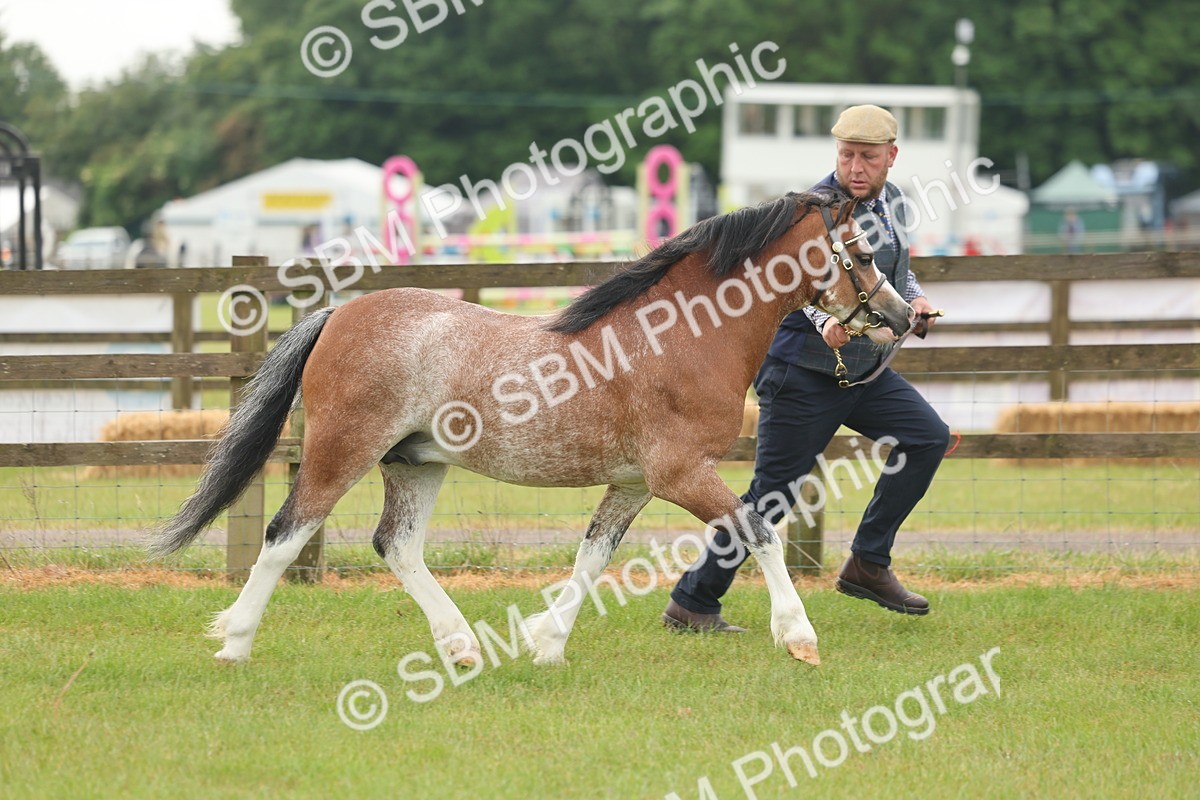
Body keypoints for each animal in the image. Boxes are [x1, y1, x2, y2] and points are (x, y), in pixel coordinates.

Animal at [149, 188, 913, 668]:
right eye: (862, 253)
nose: (904, 316)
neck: (683, 334)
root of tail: (338, 314)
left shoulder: (634, 484)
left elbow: (593, 557)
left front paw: (546, 642)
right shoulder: (680, 474)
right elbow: (758, 532)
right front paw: (799, 637)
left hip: (416, 462)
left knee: (396, 546)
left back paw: (461, 646)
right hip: (343, 450)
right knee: (285, 535)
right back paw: (235, 642)